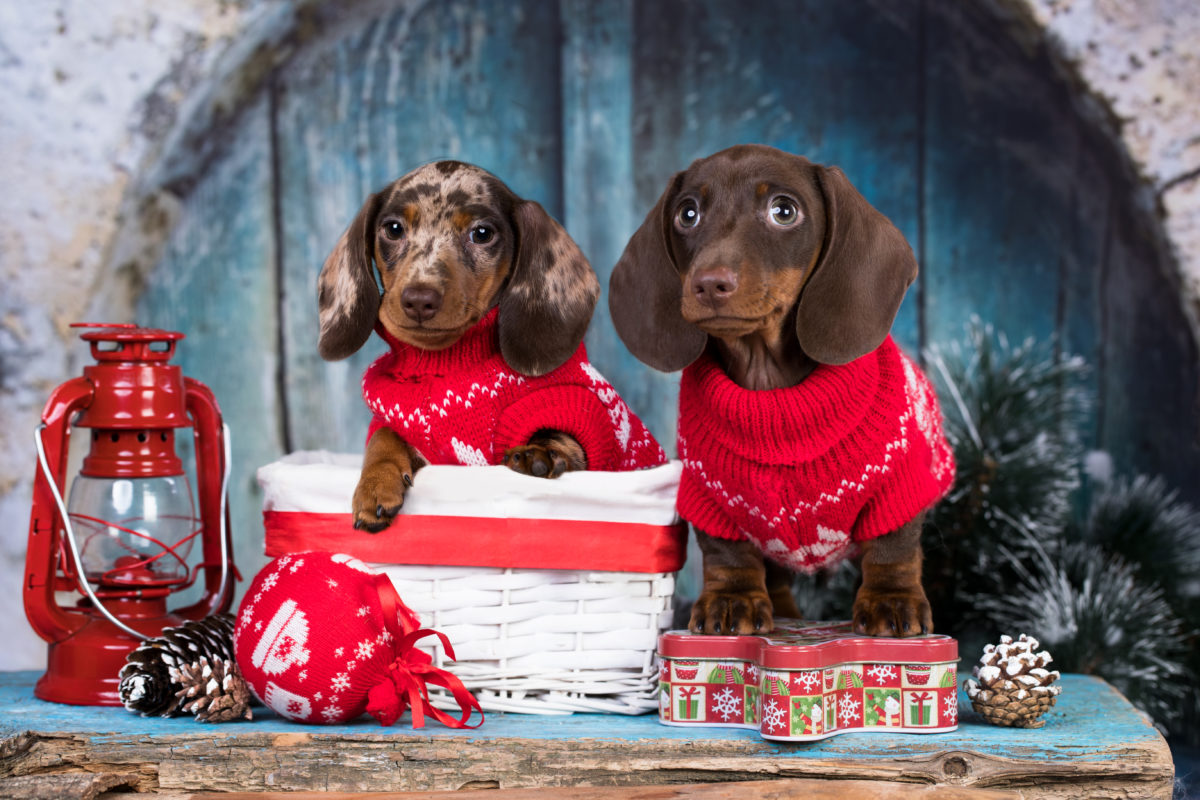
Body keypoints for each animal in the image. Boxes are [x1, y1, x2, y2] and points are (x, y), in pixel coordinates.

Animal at [319, 160, 667, 532]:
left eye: (482, 233)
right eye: (393, 228)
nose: (418, 300)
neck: (446, 364)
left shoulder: (579, 411)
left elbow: (565, 439)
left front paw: (539, 454)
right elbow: (383, 437)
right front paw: (375, 483)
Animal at [609, 145, 955, 638]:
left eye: (784, 211)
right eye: (687, 214)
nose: (709, 283)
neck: (770, 390)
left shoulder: (899, 486)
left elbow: (893, 548)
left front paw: (891, 601)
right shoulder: (711, 498)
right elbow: (728, 555)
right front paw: (732, 600)